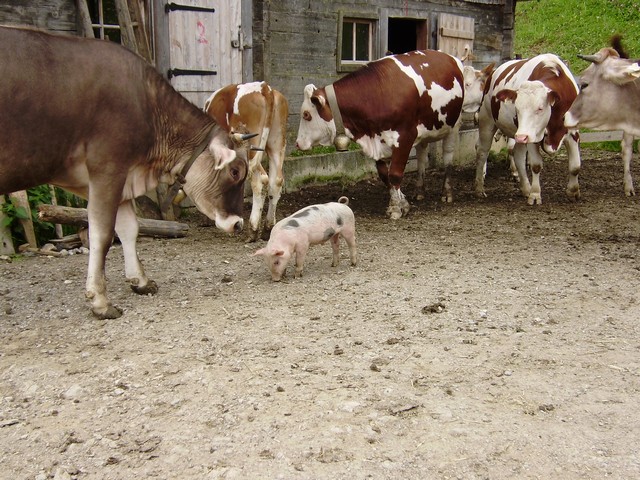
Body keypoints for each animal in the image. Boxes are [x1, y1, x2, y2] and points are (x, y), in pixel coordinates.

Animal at [0, 25, 250, 318]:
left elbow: (130, 228)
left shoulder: (123, 176)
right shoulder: (107, 170)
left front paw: (140, 280)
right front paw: (100, 300)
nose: (238, 223)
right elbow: (102, 234)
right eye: (235, 172)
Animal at [204, 81, 288, 244]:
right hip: (277, 143)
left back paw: (253, 230)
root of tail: (264, 88)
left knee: (260, 180)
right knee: (276, 181)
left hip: (250, 147)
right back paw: (267, 228)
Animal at [296, 48, 464, 218]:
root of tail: (449, 56)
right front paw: (401, 203)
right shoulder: (377, 140)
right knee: (422, 158)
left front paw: (396, 209)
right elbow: (385, 175)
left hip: (453, 126)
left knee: (448, 158)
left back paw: (447, 193)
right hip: (424, 134)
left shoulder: (405, 137)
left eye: (306, 115)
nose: (297, 143)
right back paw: (420, 191)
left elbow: (395, 174)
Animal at [472, 54, 584, 204]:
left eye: (540, 108)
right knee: (482, 151)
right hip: (488, 121)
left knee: (518, 155)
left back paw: (526, 188)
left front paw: (573, 192)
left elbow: (575, 166)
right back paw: (479, 188)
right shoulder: (532, 137)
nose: (521, 136)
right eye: (517, 108)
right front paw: (535, 195)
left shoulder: (573, 133)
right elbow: (536, 165)